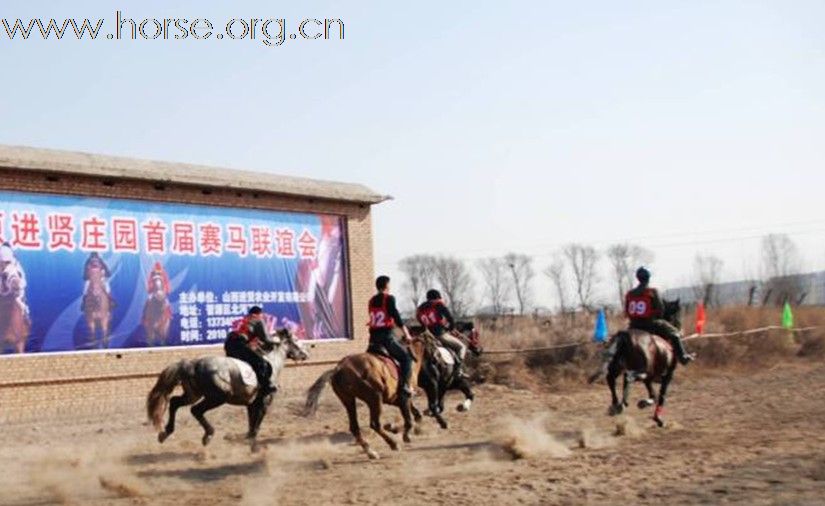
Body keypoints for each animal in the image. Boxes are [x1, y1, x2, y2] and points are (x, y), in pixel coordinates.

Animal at [145, 328, 308, 450]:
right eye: (296, 341)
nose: (306, 354)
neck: (272, 362)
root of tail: (192, 364)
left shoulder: (251, 404)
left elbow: (251, 424)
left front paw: (246, 439)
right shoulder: (264, 403)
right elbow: (256, 426)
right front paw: (252, 444)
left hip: (193, 394)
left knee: (174, 403)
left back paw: (165, 433)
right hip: (217, 397)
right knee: (195, 410)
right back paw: (208, 435)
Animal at [304, 334, 438, 460]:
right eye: (434, 343)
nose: (437, 359)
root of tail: (338, 369)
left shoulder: (395, 399)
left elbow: (416, 413)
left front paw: (407, 428)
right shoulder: (403, 397)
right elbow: (409, 418)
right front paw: (406, 434)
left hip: (348, 400)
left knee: (354, 427)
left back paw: (370, 451)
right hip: (374, 399)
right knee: (375, 424)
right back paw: (393, 444)